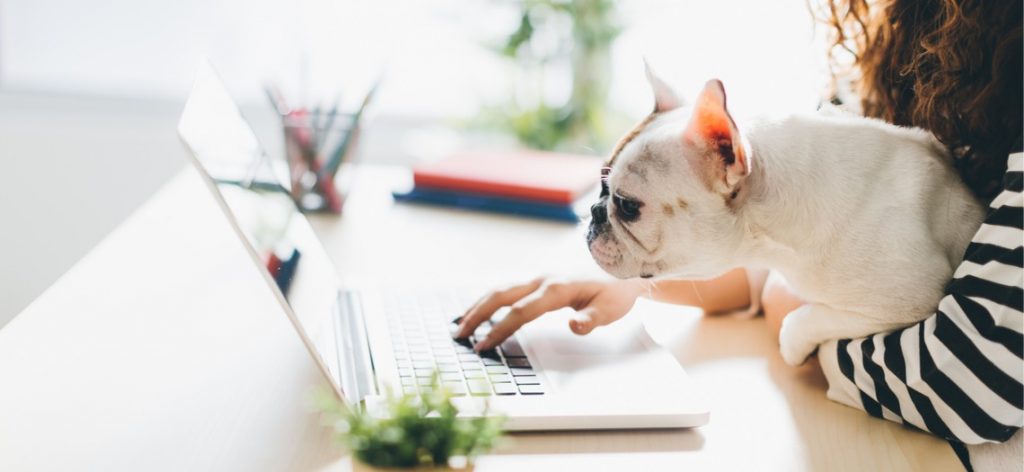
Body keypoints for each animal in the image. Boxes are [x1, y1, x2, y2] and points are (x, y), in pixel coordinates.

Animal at [589, 63, 987, 364]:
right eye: (601, 185)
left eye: (627, 206)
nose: (593, 212)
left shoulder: (910, 301)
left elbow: (805, 318)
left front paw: (792, 349)